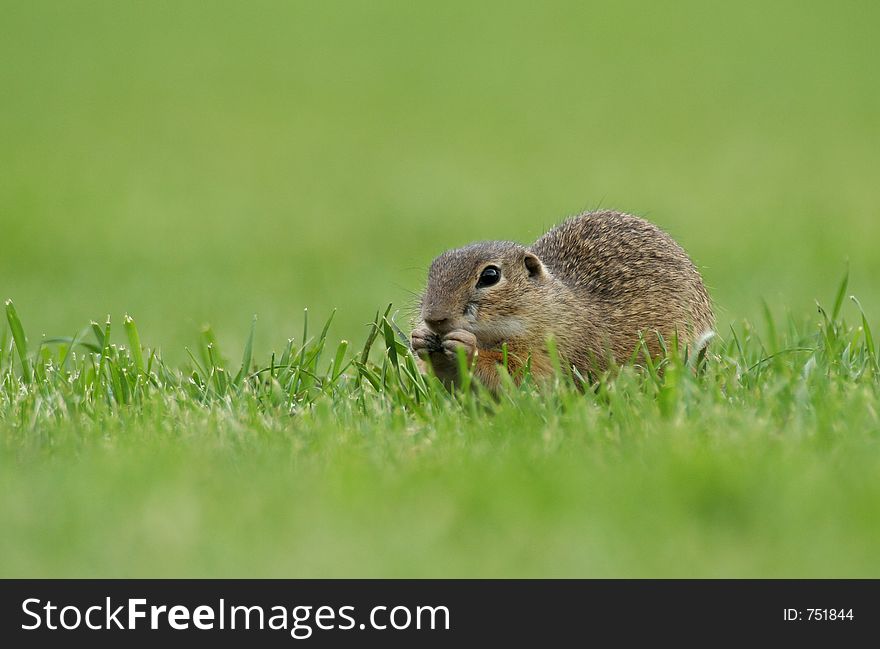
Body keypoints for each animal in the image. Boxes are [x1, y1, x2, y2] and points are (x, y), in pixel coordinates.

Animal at [412, 209, 716, 390]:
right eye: (433, 269)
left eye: (490, 276)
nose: (434, 318)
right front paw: (421, 340)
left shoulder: (552, 348)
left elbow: (522, 376)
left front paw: (467, 347)